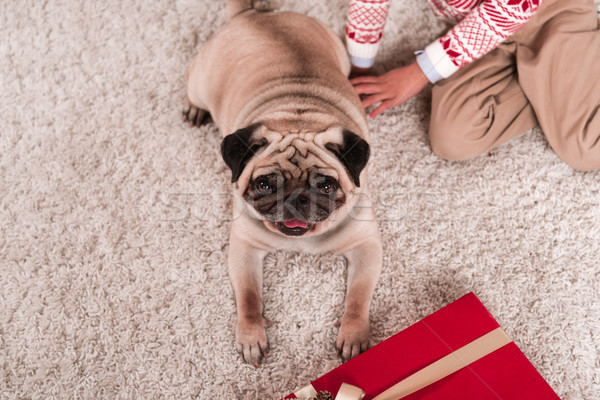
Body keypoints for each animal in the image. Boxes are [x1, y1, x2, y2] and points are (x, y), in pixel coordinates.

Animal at [182, 0, 384, 366]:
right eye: (264, 185)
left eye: (326, 186)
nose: (296, 198)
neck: (297, 118)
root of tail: (253, 15)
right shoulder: (245, 249)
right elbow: (249, 299)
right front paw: (252, 335)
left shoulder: (366, 247)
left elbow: (359, 298)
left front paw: (353, 334)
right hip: (202, 83)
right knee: (191, 79)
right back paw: (193, 108)